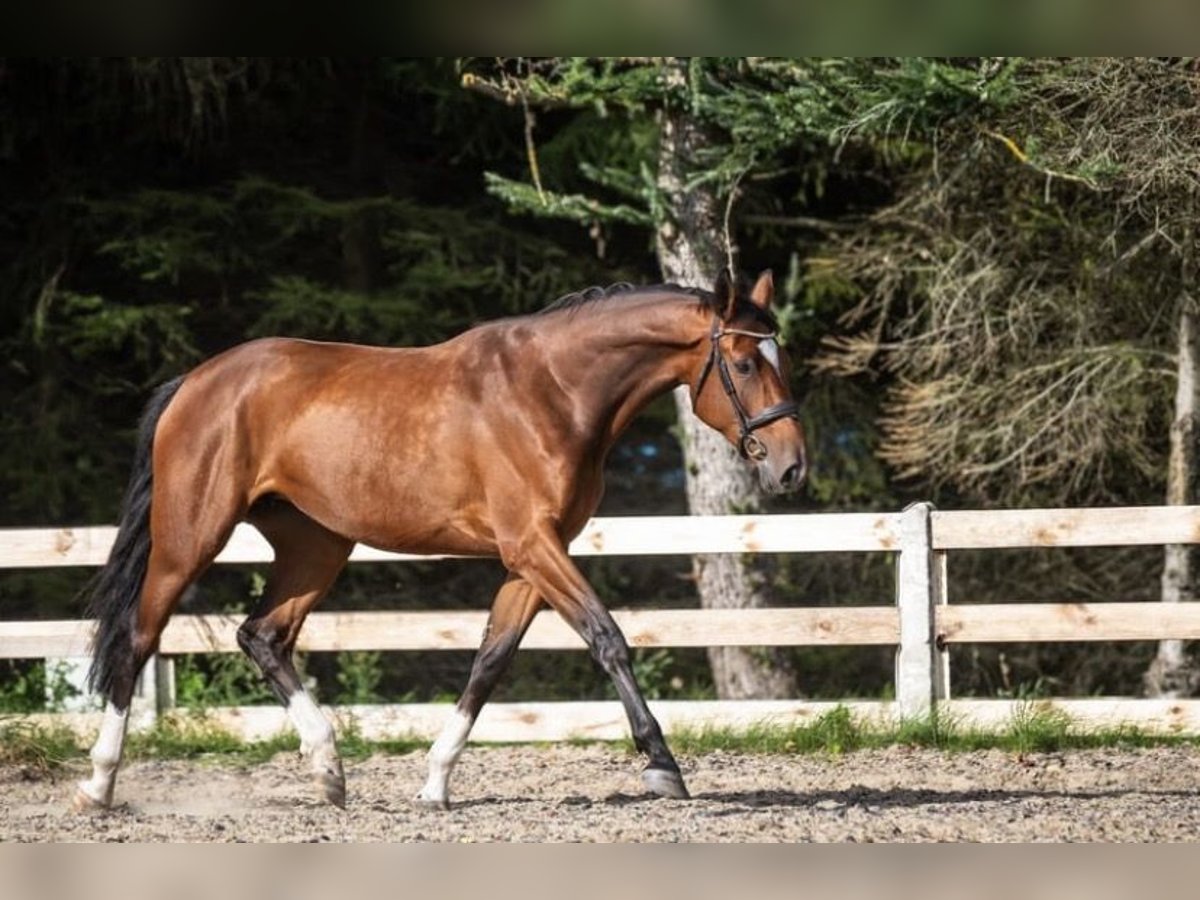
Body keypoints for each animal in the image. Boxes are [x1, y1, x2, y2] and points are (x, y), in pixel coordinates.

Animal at [72, 268, 807, 812]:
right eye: (744, 362)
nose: (791, 467)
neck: (553, 391)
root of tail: (194, 382)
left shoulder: (530, 560)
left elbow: (490, 661)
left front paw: (434, 783)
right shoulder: (533, 547)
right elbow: (608, 638)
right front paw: (662, 765)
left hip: (317, 547)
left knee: (263, 636)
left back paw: (329, 772)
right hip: (190, 538)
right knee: (138, 637)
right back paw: (99, 784)